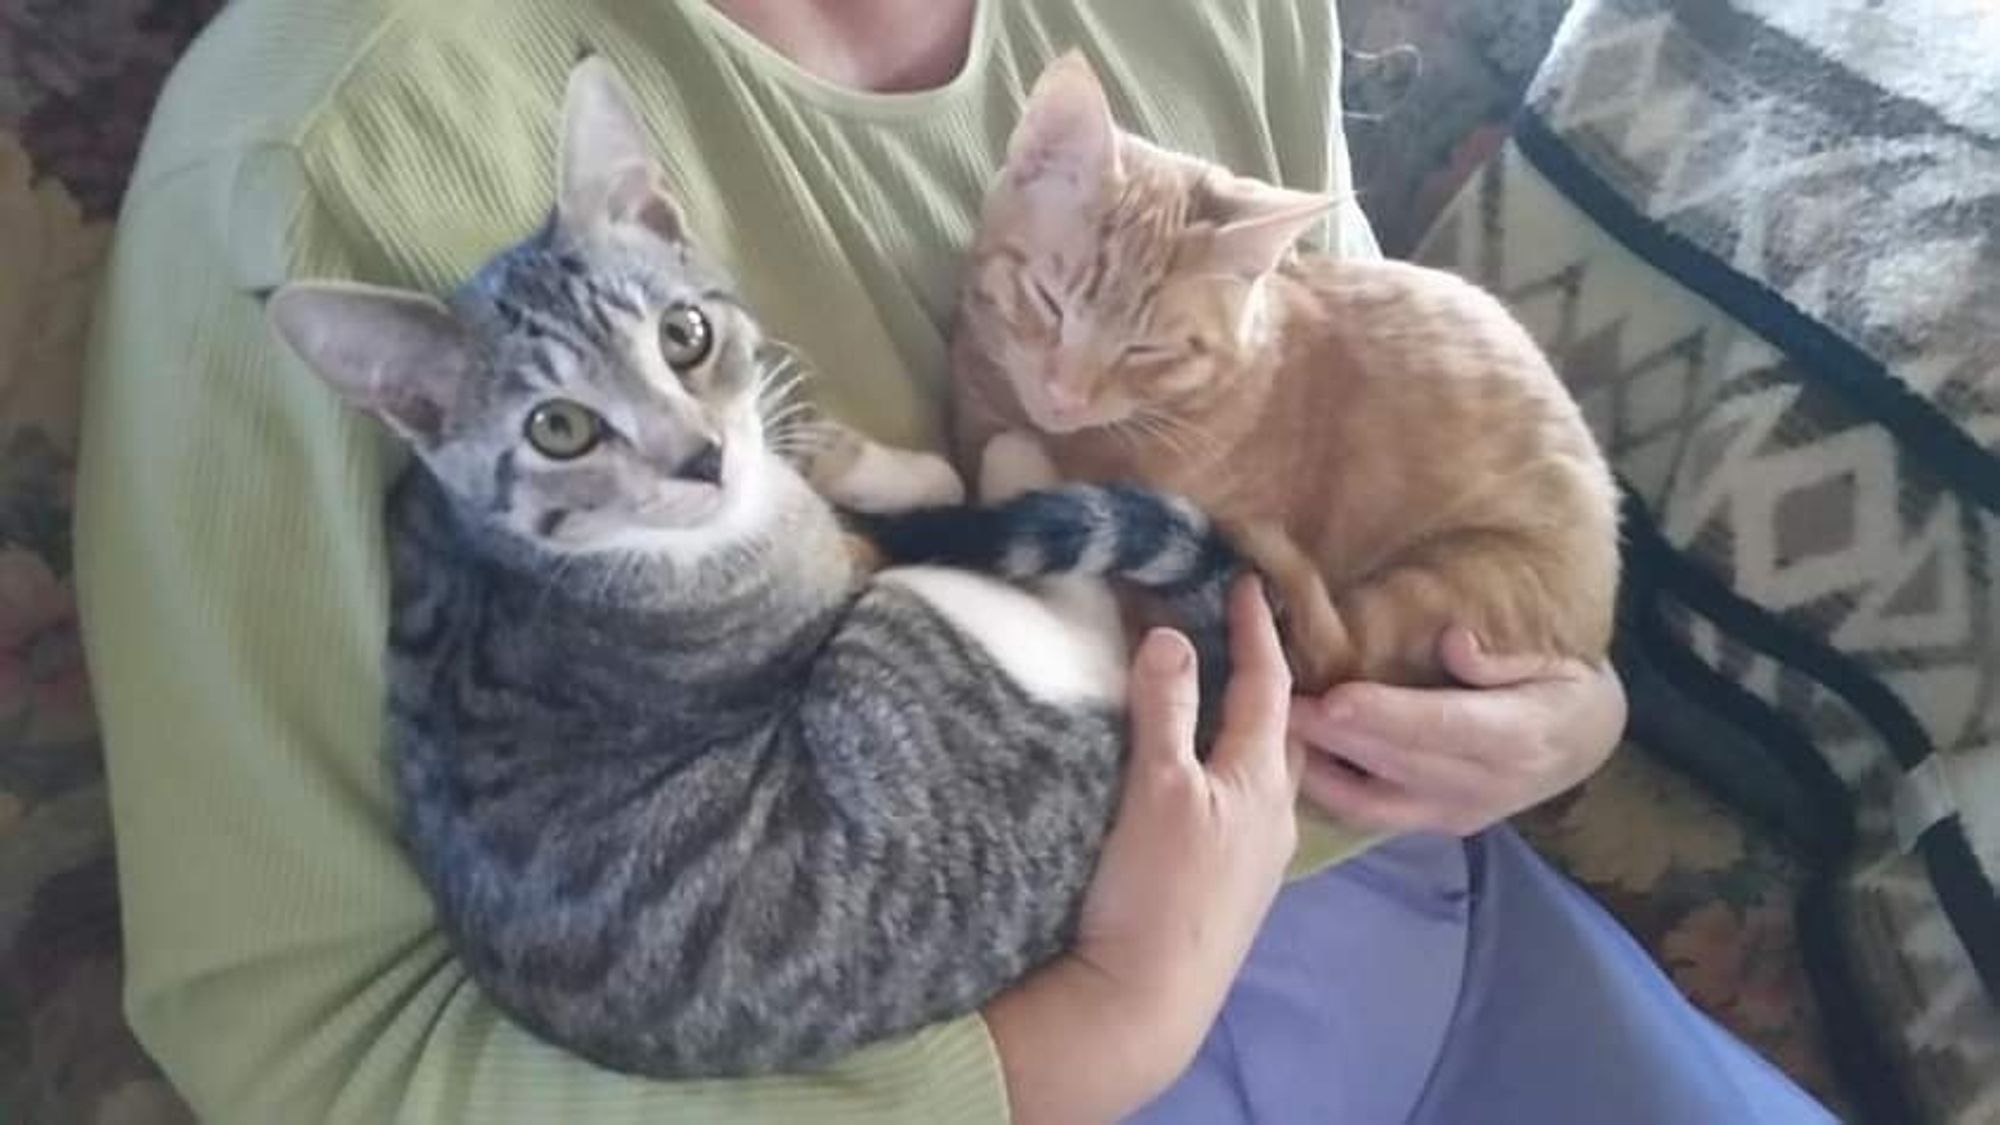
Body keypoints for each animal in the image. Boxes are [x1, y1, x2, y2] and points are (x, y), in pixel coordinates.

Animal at [260, 59, 1240, 1080]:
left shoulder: (417, 526)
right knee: (1085, 634)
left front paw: (840, 455)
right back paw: (1018, 463)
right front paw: (921, 475)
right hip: (920, 640)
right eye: (558, 427)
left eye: (684, 333)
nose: (702, 458)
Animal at [952, 59, 1624, 692]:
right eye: (1048, 301)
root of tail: (1593, 633)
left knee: (1341, 657)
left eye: (1146, 349)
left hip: (1456, 582)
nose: (1064, 396)